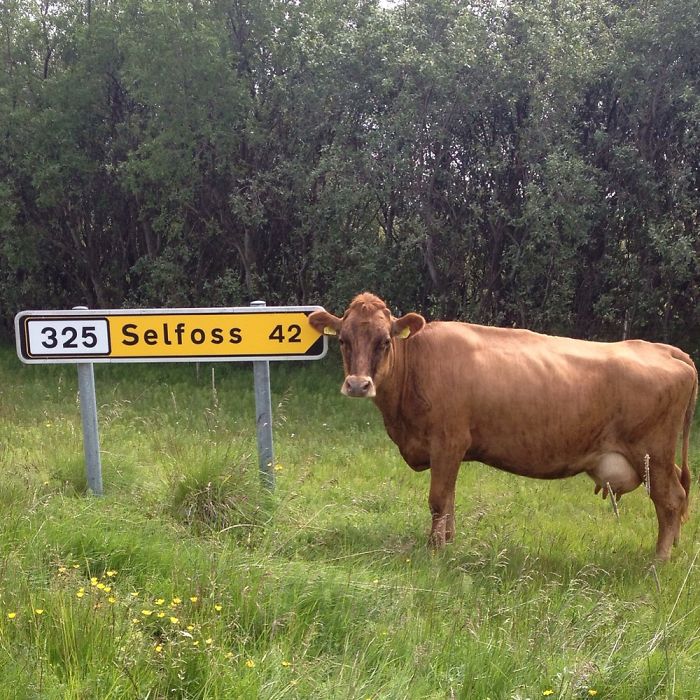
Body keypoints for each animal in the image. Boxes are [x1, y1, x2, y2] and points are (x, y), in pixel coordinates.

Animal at [309, 292, 698, 560]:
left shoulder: (447, 441)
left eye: (384, 341)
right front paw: (448, 544)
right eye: (342, 340)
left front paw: (434, 552)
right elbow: (450, 500)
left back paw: (659, 561)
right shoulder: (450, 451)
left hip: (653, 455)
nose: (358, 385)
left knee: (671, 500)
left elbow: (438, 500)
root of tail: (665, 349)